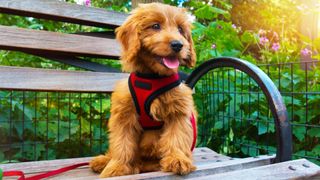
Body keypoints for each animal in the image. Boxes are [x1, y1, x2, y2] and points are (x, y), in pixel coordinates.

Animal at [89, 2, 196, 177]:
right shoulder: (124, 114)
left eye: (180, 29)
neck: (152, 77)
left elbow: (176, 137)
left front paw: (177, 159)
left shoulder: (178, 112)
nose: (178, 44)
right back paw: (104, 161)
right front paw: (117, 167)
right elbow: (122, 144)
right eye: (155, 26)